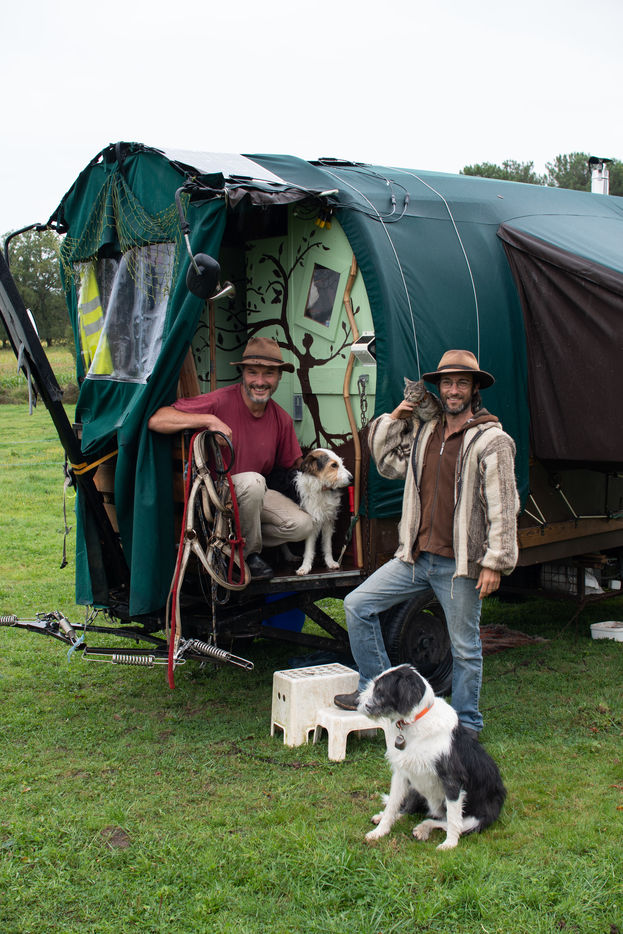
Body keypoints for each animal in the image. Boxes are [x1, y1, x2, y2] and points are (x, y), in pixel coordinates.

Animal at [359, 664, 506, 850]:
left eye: (380, 690)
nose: (358, 702)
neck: (414, 723)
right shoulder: (401, 774)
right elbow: (392, 805)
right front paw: (379, 831)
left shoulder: (452, 780)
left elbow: (453, 819)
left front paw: (450, 844)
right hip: (415, 787)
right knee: (408, 810)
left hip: (475, 819)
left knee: (444, 821)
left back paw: (423, 828)